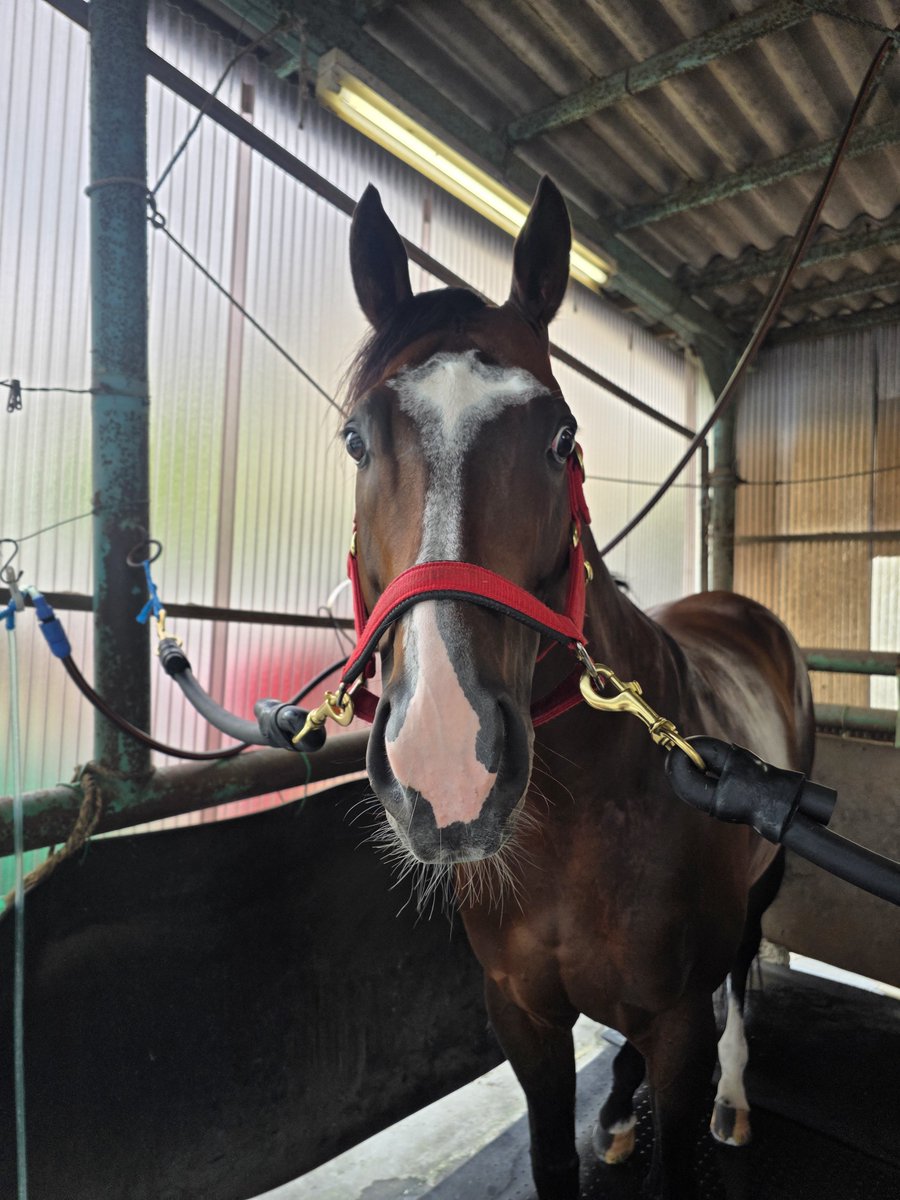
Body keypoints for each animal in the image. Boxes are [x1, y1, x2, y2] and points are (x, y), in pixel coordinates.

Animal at [340, 175, 815, 1199]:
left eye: (562, 436)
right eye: (357, 439)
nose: (448, 760)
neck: (581, 822)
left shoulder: (677, 1019)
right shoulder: (523, 1016)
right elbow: (555, 1155)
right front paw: (608, 1122)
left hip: (763, 888)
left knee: (739, 978)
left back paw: (734, 1101)